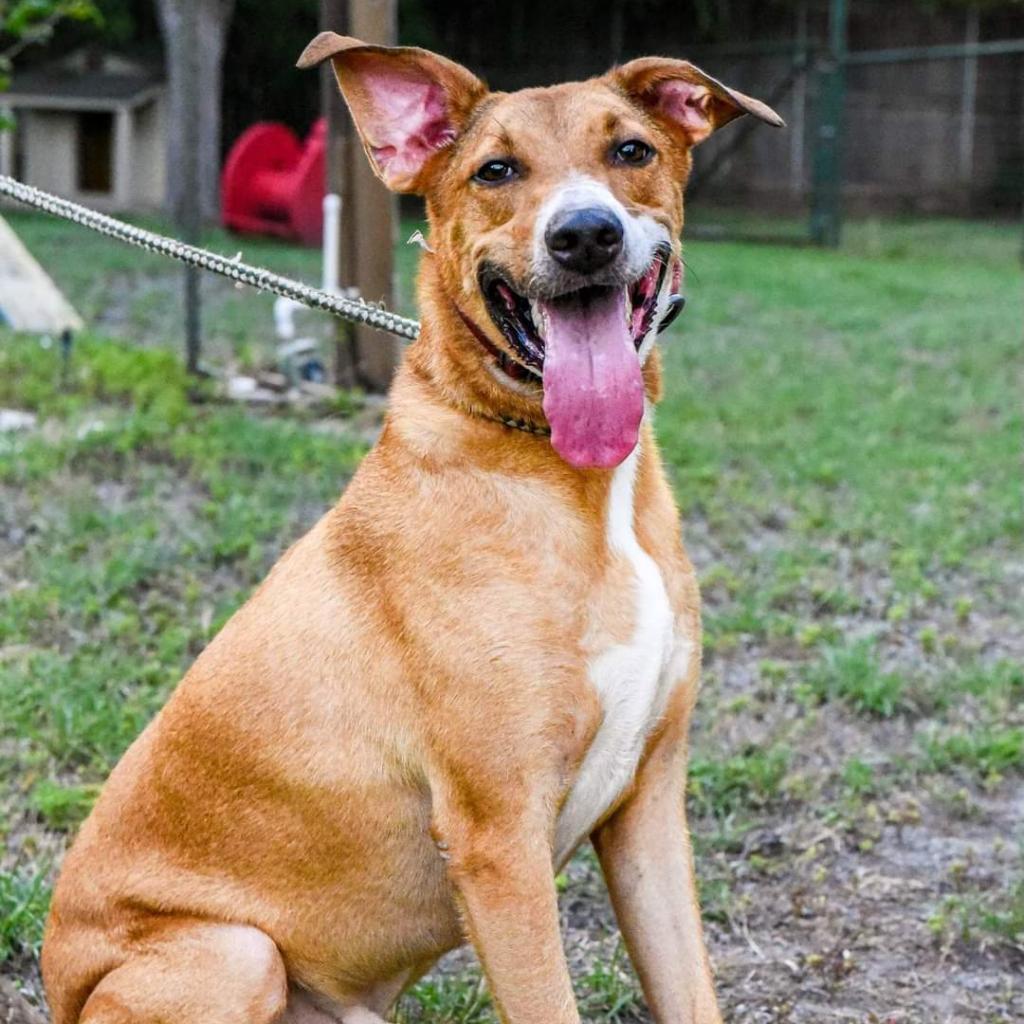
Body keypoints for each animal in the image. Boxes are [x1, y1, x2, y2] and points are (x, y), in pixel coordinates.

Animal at [37, 29, 774, 1024]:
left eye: (631, 151)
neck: (577, 482)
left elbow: (691, 991)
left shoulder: (649, 805)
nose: (585, 235)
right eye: (496, 169)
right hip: (234, 955)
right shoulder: (498, 839)